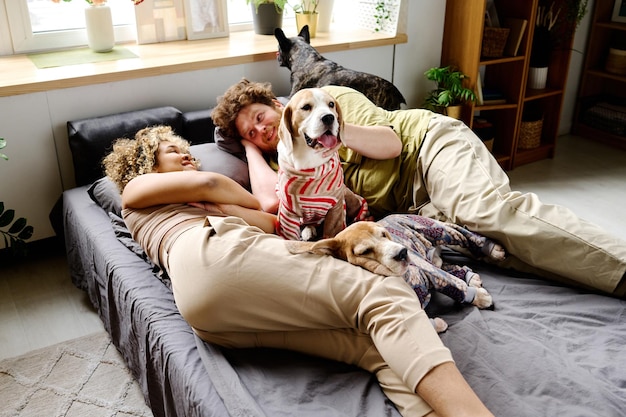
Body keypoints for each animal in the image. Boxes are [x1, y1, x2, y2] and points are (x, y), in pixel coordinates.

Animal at [274, 25, 404, 110]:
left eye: (278, 49)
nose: (277, 56)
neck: (306, 58)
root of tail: (395, 93)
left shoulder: (292, 96)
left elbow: (281, 99)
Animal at [276, 89, 368, 242]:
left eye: (331, 104)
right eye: (306, 107)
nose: (329, 117)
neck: (309, 157)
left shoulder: (335, 208)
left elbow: (331, 233)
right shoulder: (287, 212)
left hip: (348, 196)